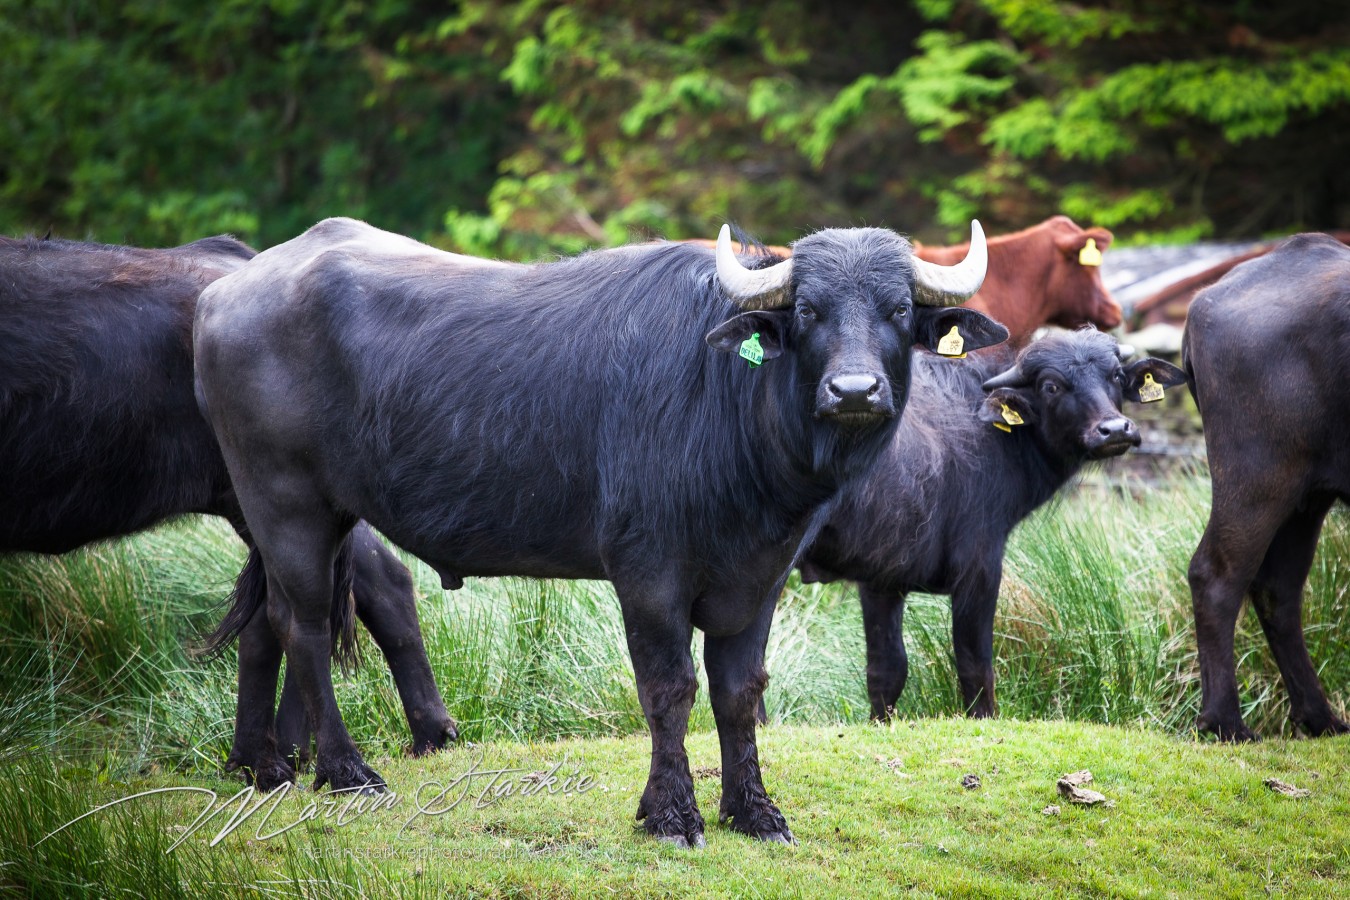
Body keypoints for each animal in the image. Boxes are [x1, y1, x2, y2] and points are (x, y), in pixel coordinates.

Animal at [194, 216, 1007, 846]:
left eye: (898, 310)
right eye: (807, 309)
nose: (854, 391)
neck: (723, 406)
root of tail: (218, 296)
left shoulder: (760, 578)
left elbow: (739, 692)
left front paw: (753, 812)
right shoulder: (647, 575)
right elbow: (669, 689)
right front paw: (672, 815)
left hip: (314, 518)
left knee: (274, 622)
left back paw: (267, 766)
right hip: (285, 502)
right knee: (302, 625)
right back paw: (346, 772)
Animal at [799, 328, 1185, 719]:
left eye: (1116, 376)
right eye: (1051, 386)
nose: (1115, 430)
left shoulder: (882, 580)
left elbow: (886, 672)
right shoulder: (980, 569)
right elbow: (975, 667)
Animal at [1184, 232, 1350, 741]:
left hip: (1308, 494)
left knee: (1278, 588)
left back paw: (1319, 716)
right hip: (1260, 478)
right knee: (1216, 574)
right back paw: (1226, 721)